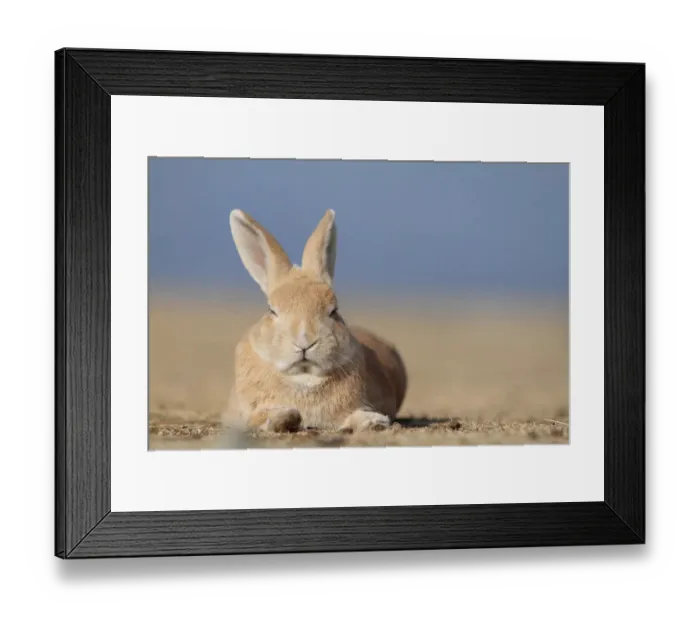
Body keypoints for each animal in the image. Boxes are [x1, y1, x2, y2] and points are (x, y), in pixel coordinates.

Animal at [224, 208, 407, 434]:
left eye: (334, 310)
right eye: (272, 310)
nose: (304, 341)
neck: (304, 377)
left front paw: (374, 421)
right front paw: (284, 416)